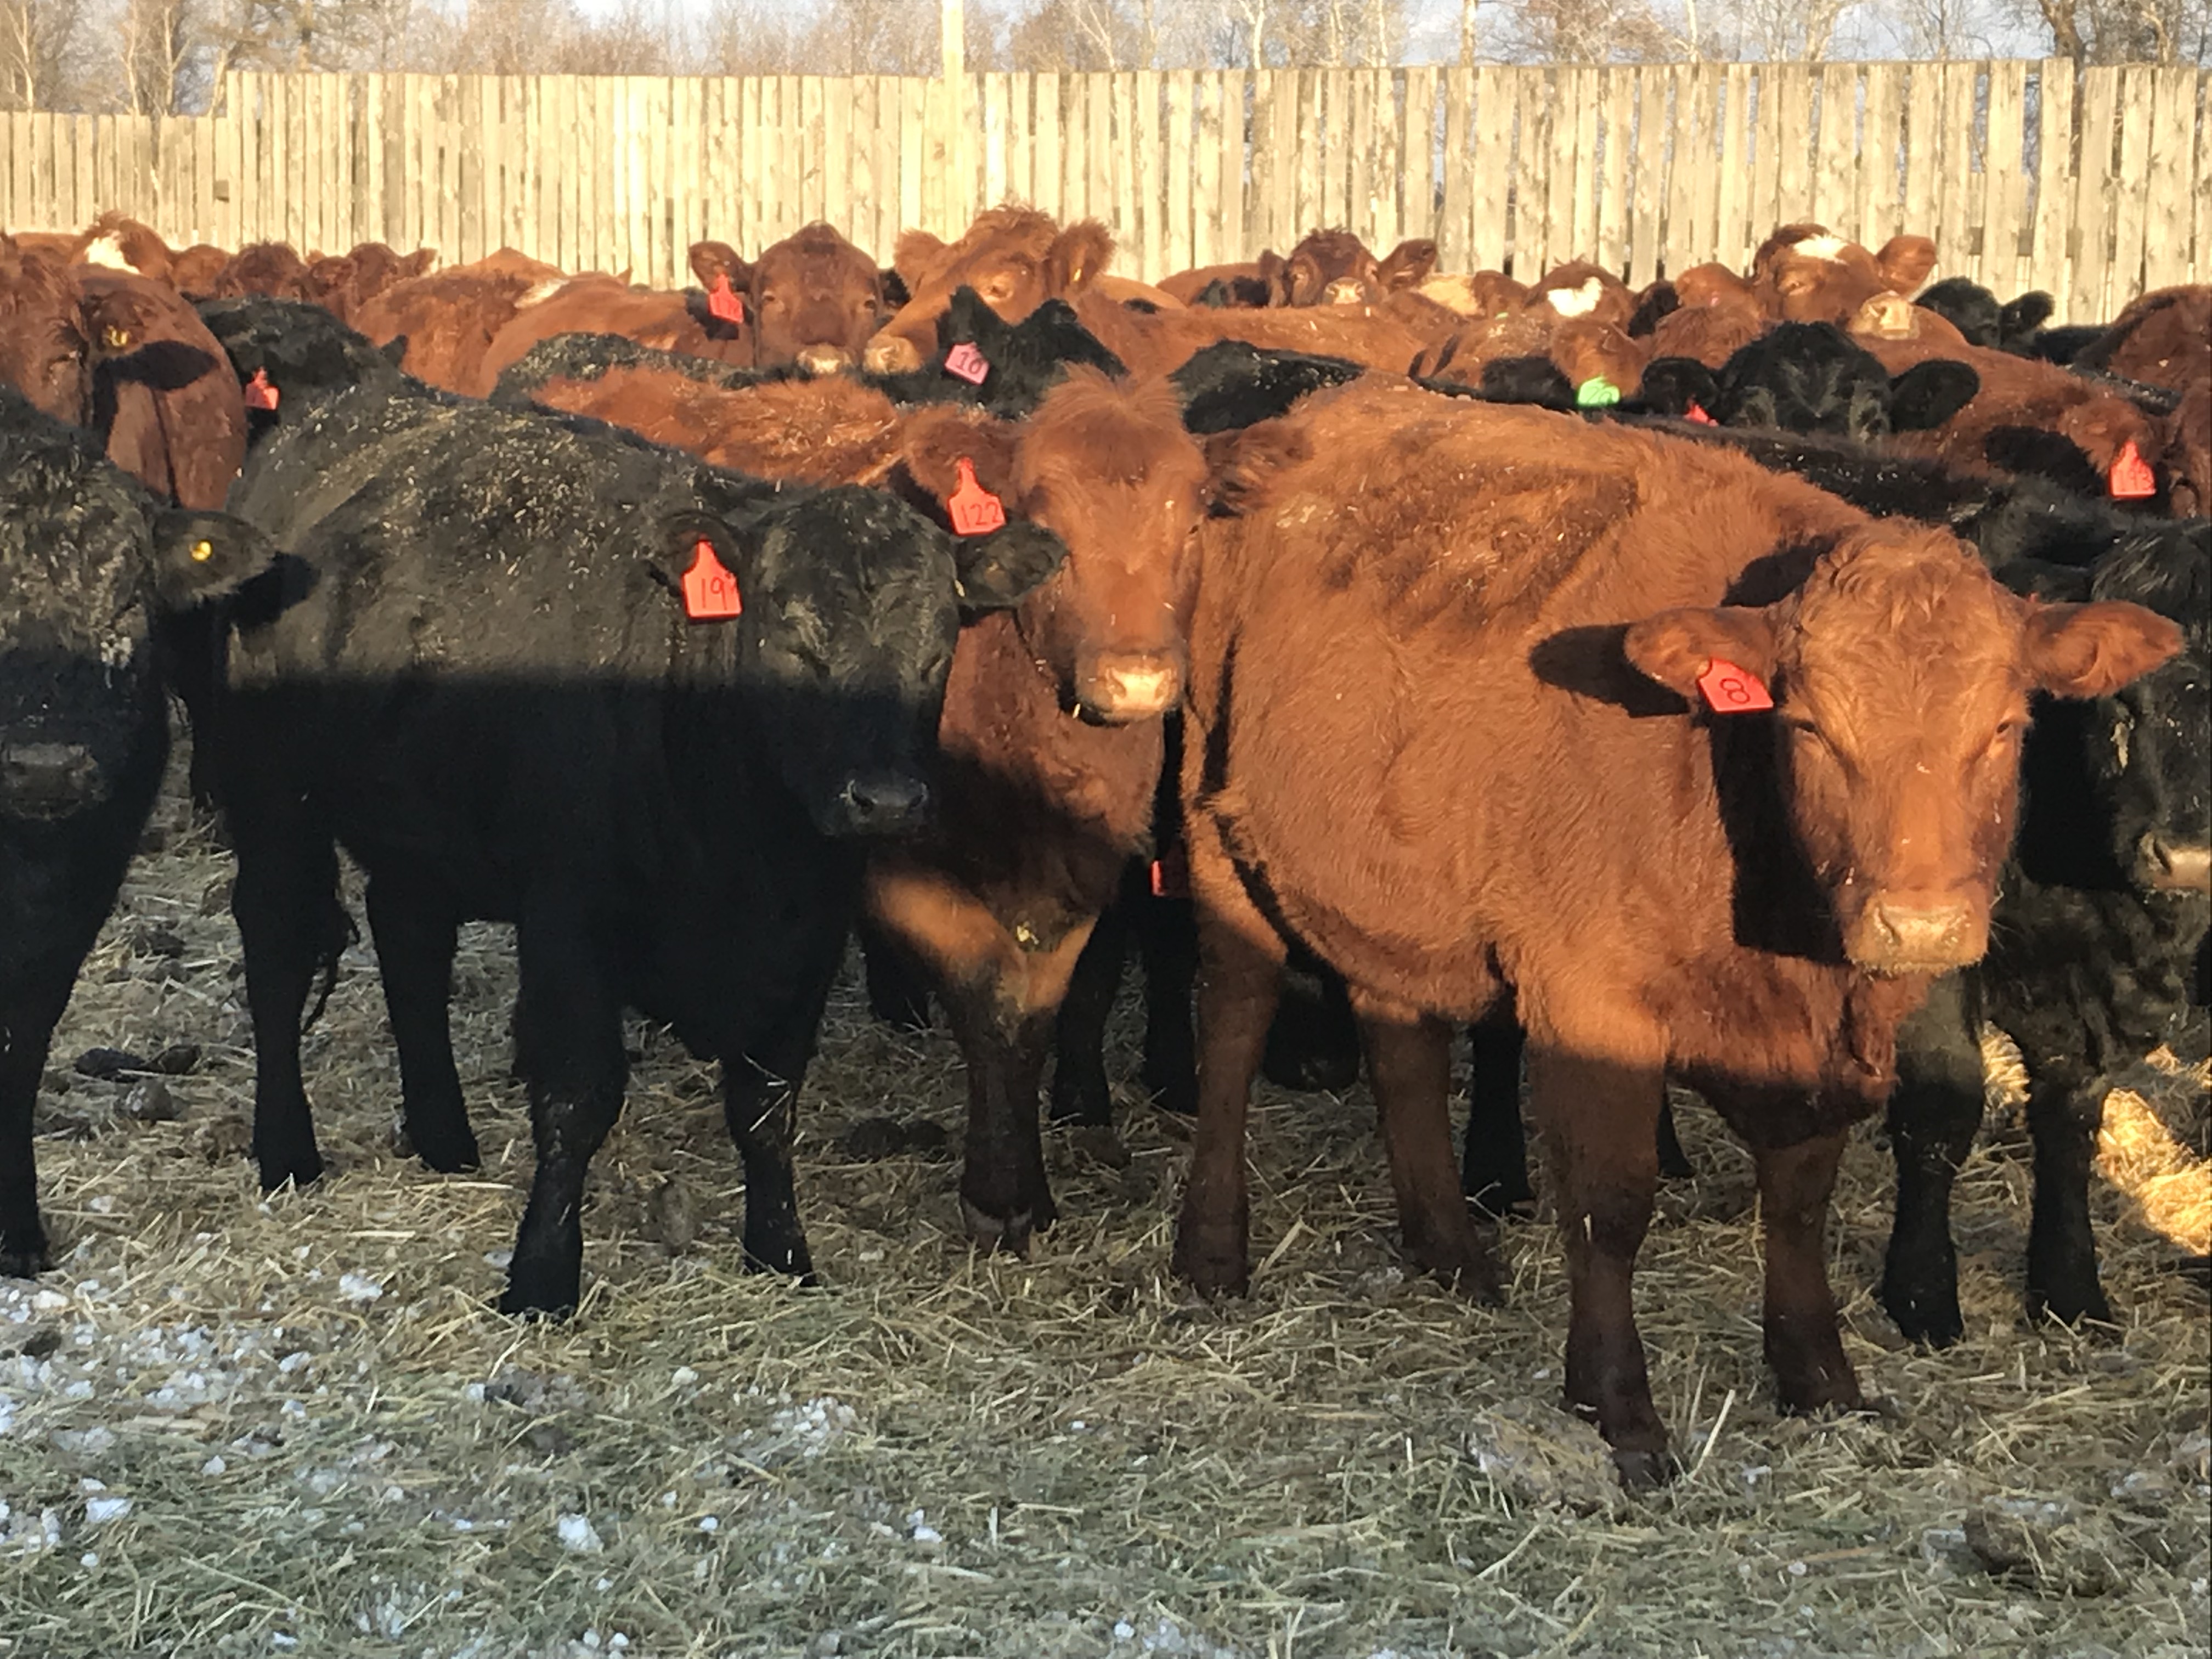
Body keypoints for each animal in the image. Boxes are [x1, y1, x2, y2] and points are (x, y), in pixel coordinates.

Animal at [212, 374, 1052, 1317]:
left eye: (940, 646)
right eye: (792, 635)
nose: (887, 799)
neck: (746, 853)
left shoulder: (810, 928)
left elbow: (767, 1100)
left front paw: (780, 1250)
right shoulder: (569, 915)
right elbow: (578, 1094)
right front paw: (542, 1276)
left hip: (415, 822)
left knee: (410, 943)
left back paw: (442, 1134)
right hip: (270, 797)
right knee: (278, 949)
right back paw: (287, 1151)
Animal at [1170, 378, 2178, 1484]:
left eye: (2004, 724)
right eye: (1808, 724)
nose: (1918, 924)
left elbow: (1799, 1198)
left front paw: (1820, 1378)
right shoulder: (1587, 1001)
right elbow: (1611, 1205)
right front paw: (1619, 1409)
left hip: (1390, 881)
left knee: (1402, 1044)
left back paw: (1451, 1253)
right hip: (1216, 837)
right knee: (1231, 1024)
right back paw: (1211, 1253)